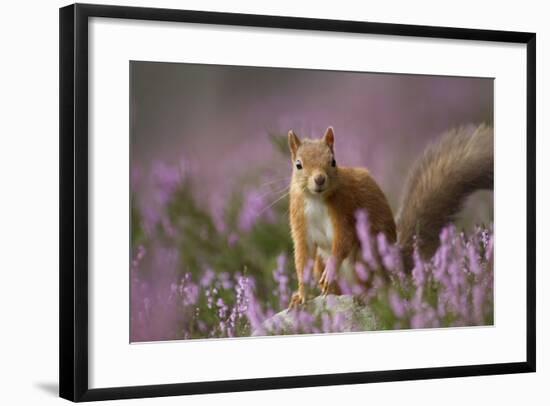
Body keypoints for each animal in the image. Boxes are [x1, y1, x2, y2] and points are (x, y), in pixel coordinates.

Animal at [288, 125, 496, 306]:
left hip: (365, 257)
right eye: (298, 165)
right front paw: (301, 295)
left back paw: (367, 295)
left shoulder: (345, 209)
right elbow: (302, 256)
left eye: (333, 161)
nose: (319, 179)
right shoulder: (300, 220)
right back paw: (333, 293)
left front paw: (330, 271)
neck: (316, 199)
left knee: (377, 285)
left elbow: (343, 240)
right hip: (321, 263)